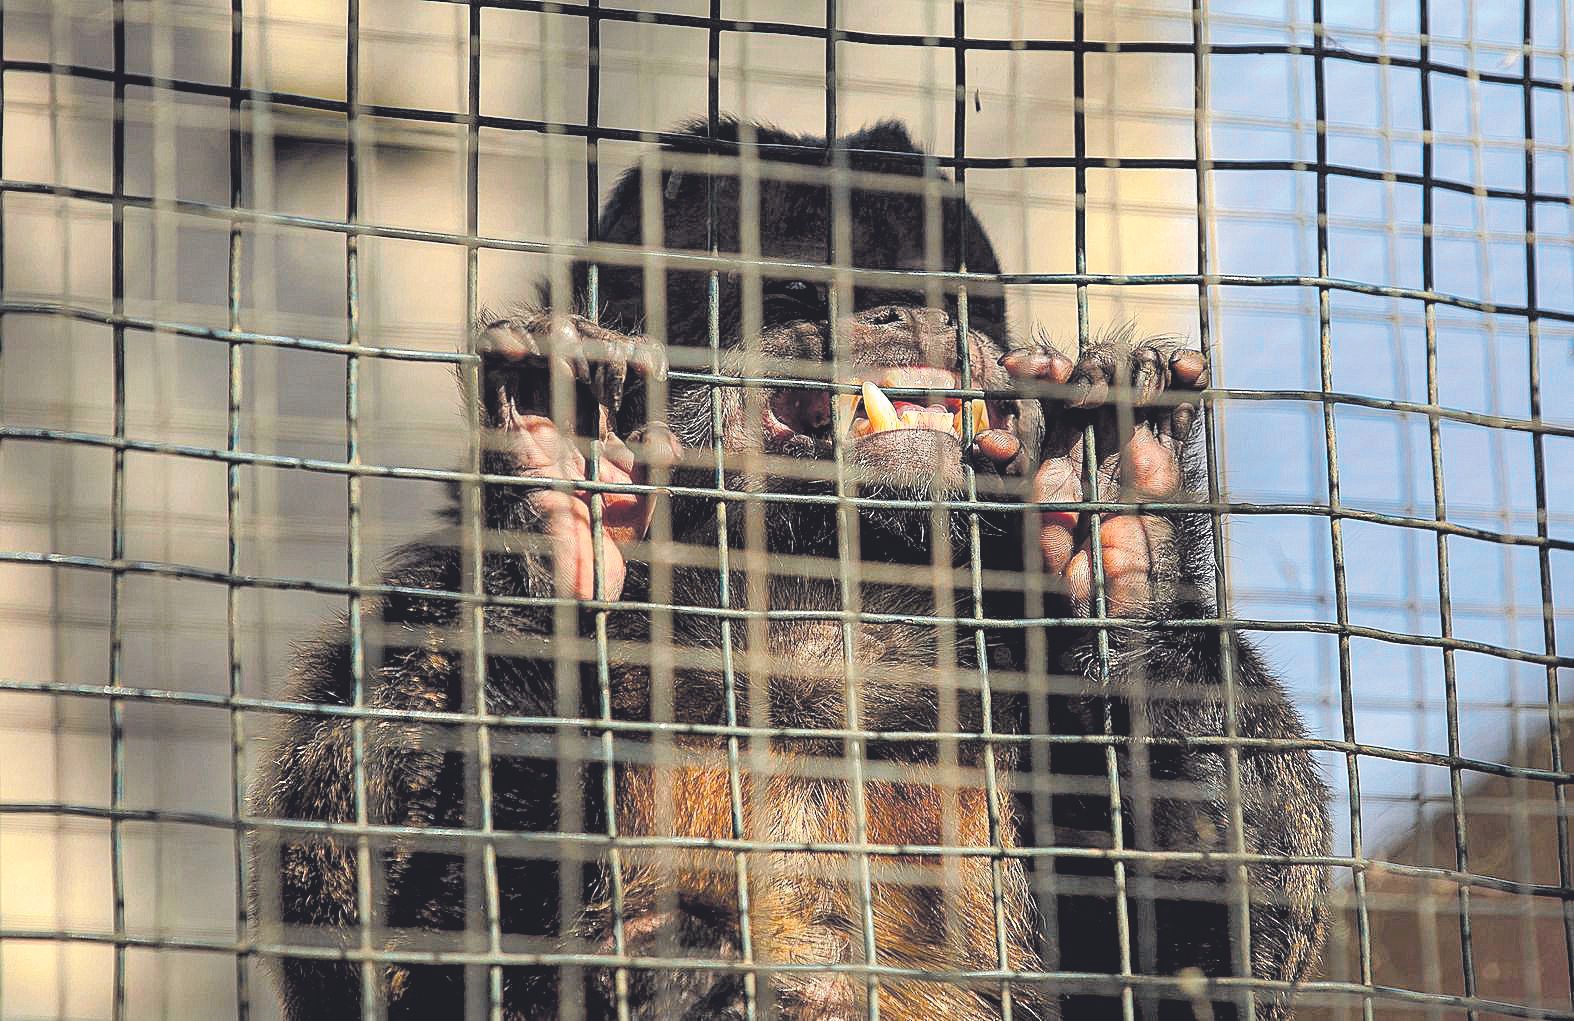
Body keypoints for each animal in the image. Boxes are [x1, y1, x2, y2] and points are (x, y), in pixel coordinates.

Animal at [254, 121, 1328, 1019]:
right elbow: (375, 941)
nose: (906, 314)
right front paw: (557, 516)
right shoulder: (428, 588)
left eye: (941, 296)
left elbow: (1214, 958)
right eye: (804, 294)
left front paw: (1124, 536)